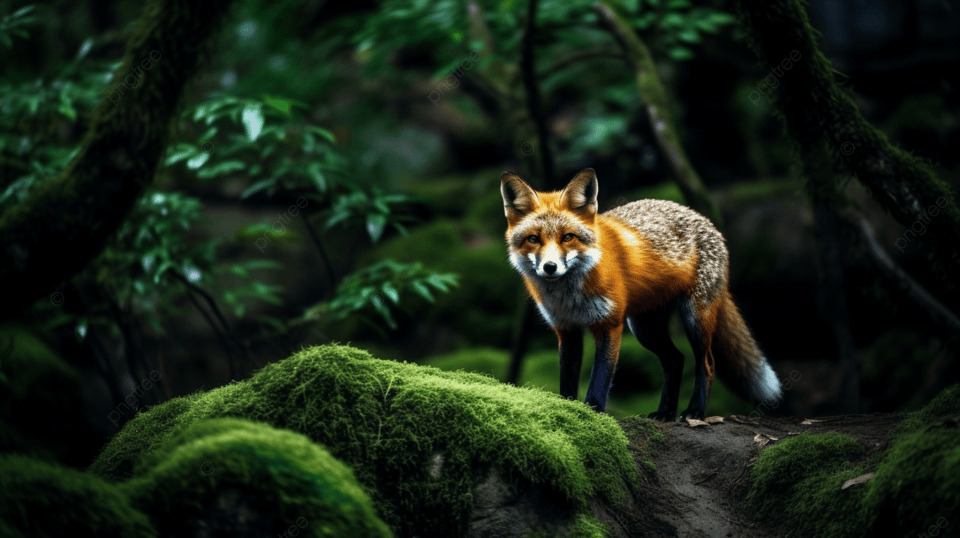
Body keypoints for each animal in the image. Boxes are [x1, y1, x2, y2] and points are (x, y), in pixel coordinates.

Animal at [501, 168, 781, 420]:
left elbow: (600, 379)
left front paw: (593, 414)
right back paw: (665, 413)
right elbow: (567, 382)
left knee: (707, 363)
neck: (568, 297)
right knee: (676, 360)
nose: (550, 267)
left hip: (694, 319)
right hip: (646, 329)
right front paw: (568, 412)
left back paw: (695, 411)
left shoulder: (610, 325)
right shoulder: (566, 330)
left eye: (567, 237)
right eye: (533, 239)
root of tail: (704, 219)